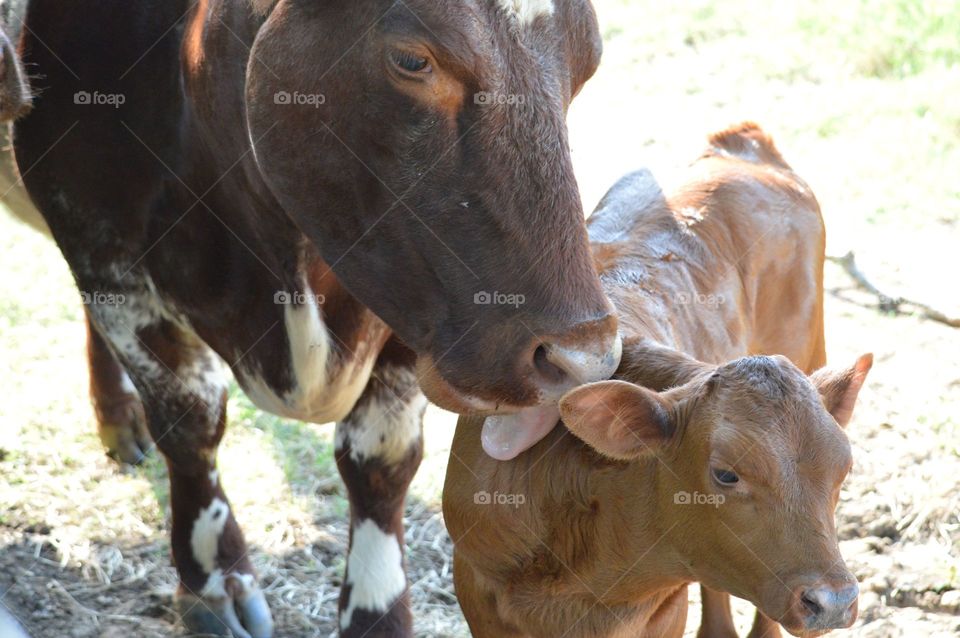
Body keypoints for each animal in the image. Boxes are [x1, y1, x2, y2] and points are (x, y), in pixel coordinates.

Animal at [11, 1, 620, 638]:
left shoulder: (412, 304)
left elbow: (381, 458)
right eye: (412, 60)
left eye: (588, 62)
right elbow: (191, 421)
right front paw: (214, 578)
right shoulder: (104, 253)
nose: (584, 360)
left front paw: (376, 610)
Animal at [446, 125, 872, 638]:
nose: (833, 601)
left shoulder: (665, 608)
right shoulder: (476, 584)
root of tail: (743, 146)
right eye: (726, 474)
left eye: (843, 468)